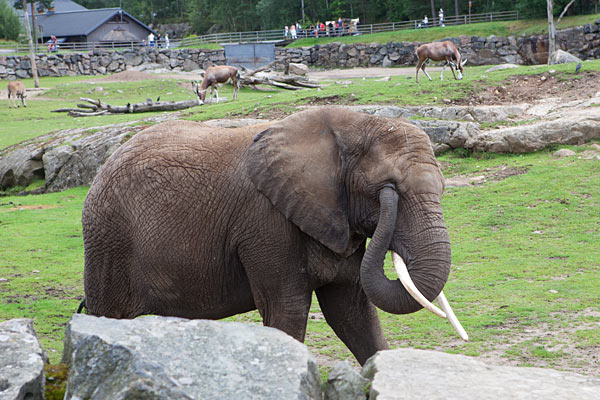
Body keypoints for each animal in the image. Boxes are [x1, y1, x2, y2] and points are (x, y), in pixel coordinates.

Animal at [81, 107, 464, 366]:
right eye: (385, 189)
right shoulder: (266, 223)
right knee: (108, 316)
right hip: (108, 239)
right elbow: (288, 312)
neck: (351, 125)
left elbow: (353, 314)